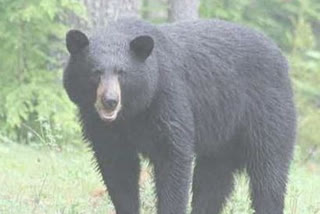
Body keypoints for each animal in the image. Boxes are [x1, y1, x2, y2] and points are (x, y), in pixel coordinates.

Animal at [63, 17, 296, 214]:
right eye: (95, 72)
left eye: (122, 73)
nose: (110, 101)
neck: (131, 114)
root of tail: (281, 55)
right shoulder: (102, 126)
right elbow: (118, 168)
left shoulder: (167, 96)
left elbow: (173, 157)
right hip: (221, 139)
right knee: (212, 181)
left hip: (267, 112)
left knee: (268, 172)